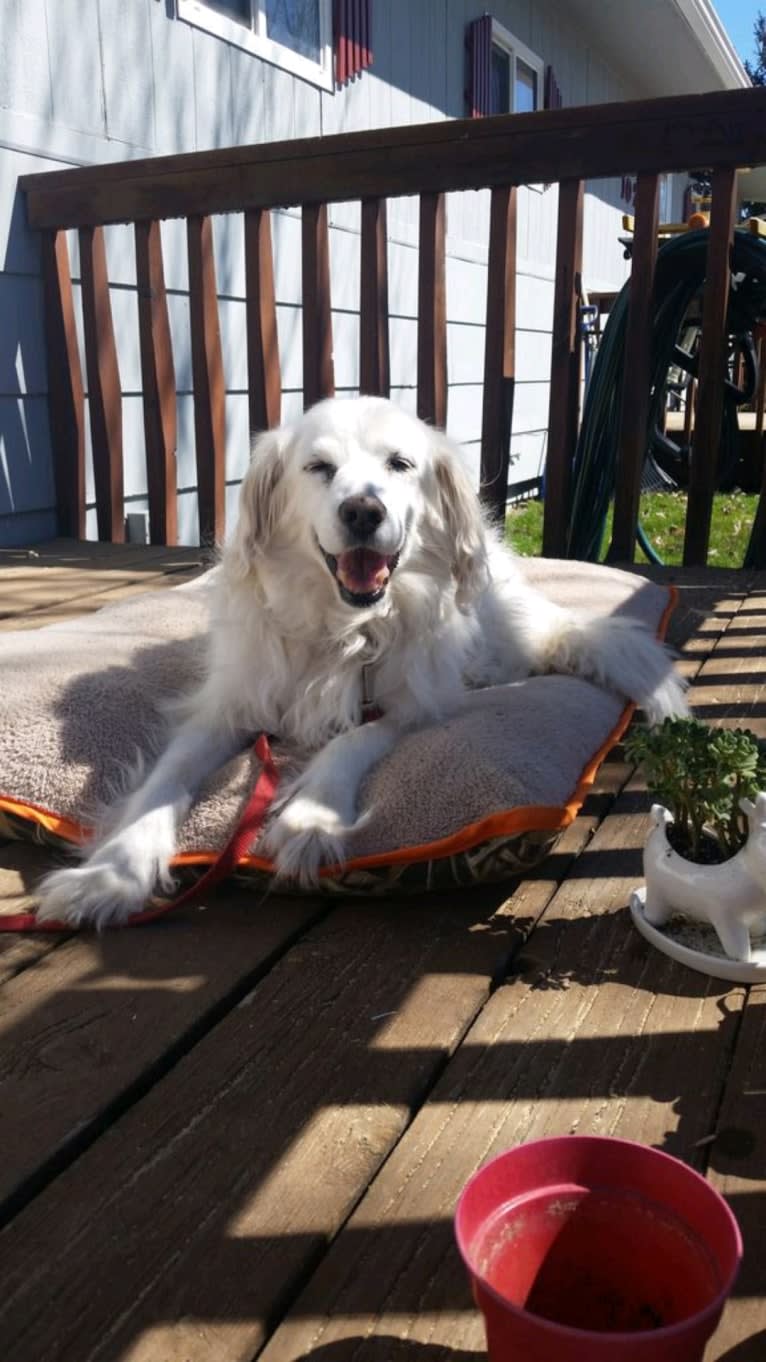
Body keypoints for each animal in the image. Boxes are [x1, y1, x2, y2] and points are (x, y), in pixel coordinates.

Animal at [37, 397, 686, 926]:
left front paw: (310, 819)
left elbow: (351, 740)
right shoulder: (225, 711)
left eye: (399, 464)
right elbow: (162, 784)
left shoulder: (410, 703)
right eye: (319, 468)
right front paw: (112, 874)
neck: (343, 630)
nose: (362, 512)